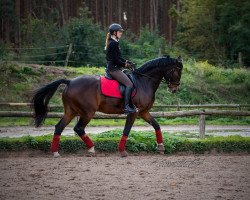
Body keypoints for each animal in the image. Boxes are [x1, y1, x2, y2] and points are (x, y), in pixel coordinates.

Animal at [32, 55, 183, 157]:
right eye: (178, 71)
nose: (174, 89)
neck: (143, 81)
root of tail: (70, 82)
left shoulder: (144, 112)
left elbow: (157, 125)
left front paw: (161, 147)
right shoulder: (134, 112)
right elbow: (126, 130)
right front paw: (122, 150)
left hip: (71, 111)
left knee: (59, 127)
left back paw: (55, 152)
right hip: (87, 112)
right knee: (78, 128)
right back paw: (92, 148)